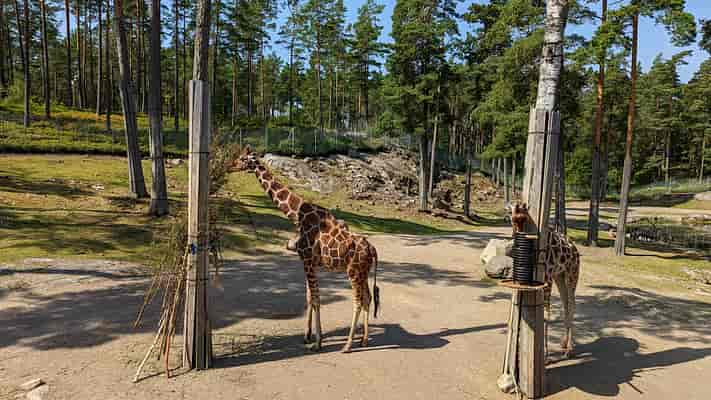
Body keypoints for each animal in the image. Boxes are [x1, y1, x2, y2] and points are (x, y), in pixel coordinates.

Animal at [232, 146, 380, 353]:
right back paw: (363, 340)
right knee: (367, 298)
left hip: (353, 272)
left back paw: (347, 345)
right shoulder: (308, 262)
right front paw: (308, 336)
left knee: (358, 301)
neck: (296, 216)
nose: (230, 165)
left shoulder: (308, 260)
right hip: (363, 272)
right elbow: (310, 297)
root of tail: (372, 249)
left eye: (241, 158)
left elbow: (316, 298)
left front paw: (317, 342)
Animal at [511, 203, 580, 357]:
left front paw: (546, 354)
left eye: (522, 215)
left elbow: (545, 313)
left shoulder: (547, 278)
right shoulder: (546, 278)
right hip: (559, 276)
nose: (517, 206)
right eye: (513, 218)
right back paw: (565, 343)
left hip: (571, 274)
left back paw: (569, 349)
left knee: (572, 304)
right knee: (566, 303)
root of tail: (576, 250)